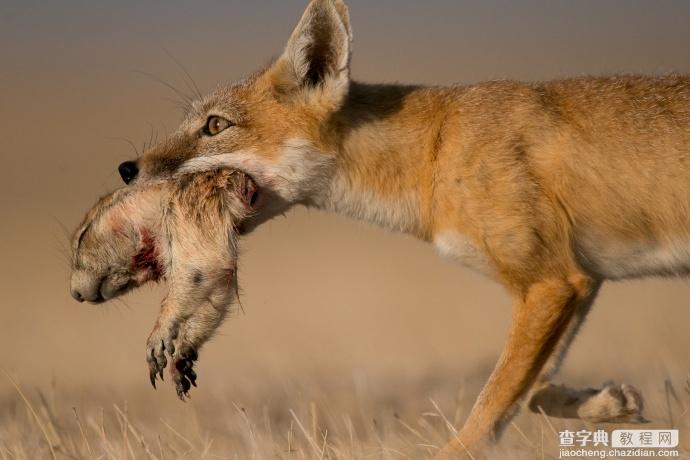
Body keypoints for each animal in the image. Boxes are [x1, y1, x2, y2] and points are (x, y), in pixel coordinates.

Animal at [69, 169, 255, 398]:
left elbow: (204, 264)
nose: (75, 294)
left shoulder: (190, 207)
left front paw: (157, 339)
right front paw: (182, 358)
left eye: (82, 235)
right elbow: (219, 291)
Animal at [101, 0, 688, 454]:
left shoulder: (552, 280)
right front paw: (609, 403)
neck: (435, 152)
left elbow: (489, 409)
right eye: (191, 122)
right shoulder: (576, 280)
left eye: (215, 126)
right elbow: (533, 390)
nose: (127, 169)